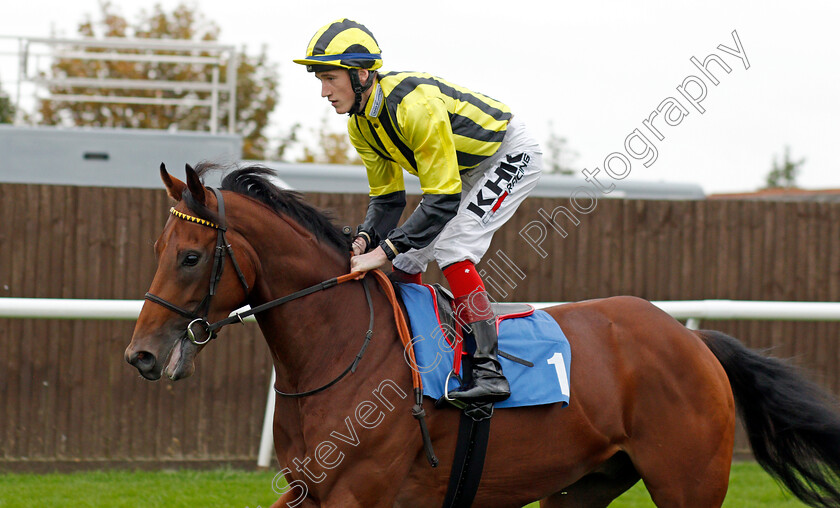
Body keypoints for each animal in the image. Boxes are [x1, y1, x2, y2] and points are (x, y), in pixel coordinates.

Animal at [126, 164, 840, 508]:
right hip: (582, 487)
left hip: (688, 484)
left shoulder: (359, 494)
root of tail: (694, 341)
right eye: (159, 249)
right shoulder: (309, 491)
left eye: (190, 256)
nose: (142, 355)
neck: (344, 351)